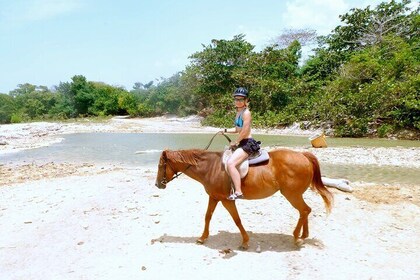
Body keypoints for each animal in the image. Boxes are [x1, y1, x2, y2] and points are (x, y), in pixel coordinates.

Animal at [153, 148, 334, 248]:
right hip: (295, 195)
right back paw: (303, 235)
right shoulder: (214, 197)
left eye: (161, 165)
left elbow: (237, 220)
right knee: (306, 211)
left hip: (292, 195)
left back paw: (297, 237)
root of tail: (303, 156)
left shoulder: (227, 200)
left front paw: (245, 241)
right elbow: (207, 217)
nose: (157, 184)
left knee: (304, 210)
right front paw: (202, 238)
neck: (210, 167)